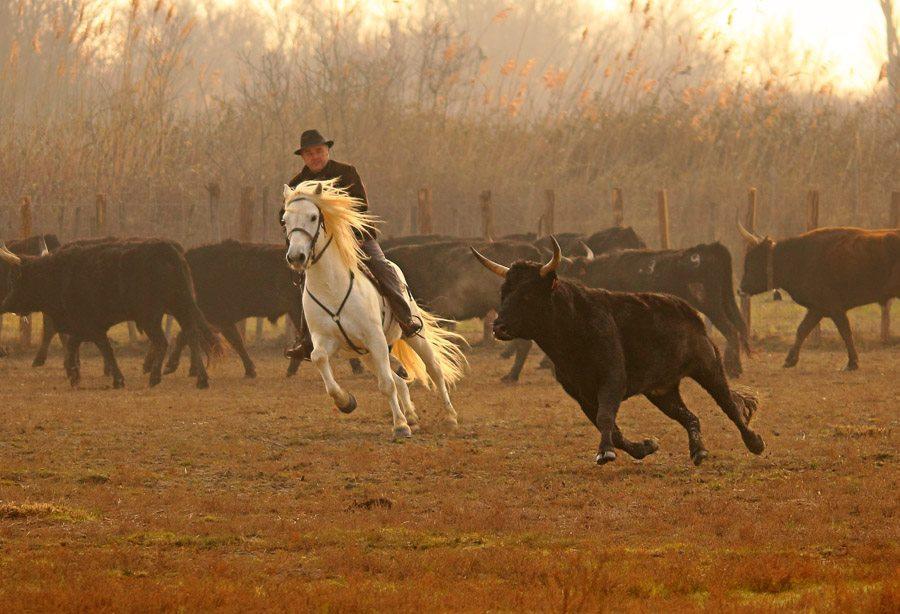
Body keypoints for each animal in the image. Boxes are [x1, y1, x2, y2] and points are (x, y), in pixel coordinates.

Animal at [0, 239, 221, 390]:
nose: (5, 304)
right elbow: (73, 346)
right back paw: (202, 379)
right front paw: (73, 374)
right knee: (191, 336)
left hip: (150, 316)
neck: (57, 275)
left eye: (15, 280)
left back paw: (155, 377)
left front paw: (116, 379)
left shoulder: (91, 326)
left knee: (162, 342)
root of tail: (166, 249)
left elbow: (104, 349)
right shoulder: (81, 327)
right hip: (181, 308)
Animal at [280, 178, 464, 438]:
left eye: (313, 217)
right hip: (366, 354)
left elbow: (386, 385)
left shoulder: (374, 337)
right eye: (285, 220)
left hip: (411, 336)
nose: (296, 256)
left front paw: (400, 427)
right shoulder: (325, 340)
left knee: (433, 370)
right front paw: (346, 402)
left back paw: (449, 418)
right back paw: (413, 417)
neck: (331, 286)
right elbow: (318, 358)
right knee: (399, 380)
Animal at [472, 241, 768, 466]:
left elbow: (606, 417)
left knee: (729, 404)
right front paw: (645, 446)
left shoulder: (612, 380)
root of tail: (688, 312)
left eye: (527, 294)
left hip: (708, 367)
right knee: (690, 416)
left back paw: (754, 442)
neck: (572, 328)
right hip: (661, 391)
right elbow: (610, 427)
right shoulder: (580, 393)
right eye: (503, 292)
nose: (498, 327)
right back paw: (698, 451)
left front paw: (606, 452)